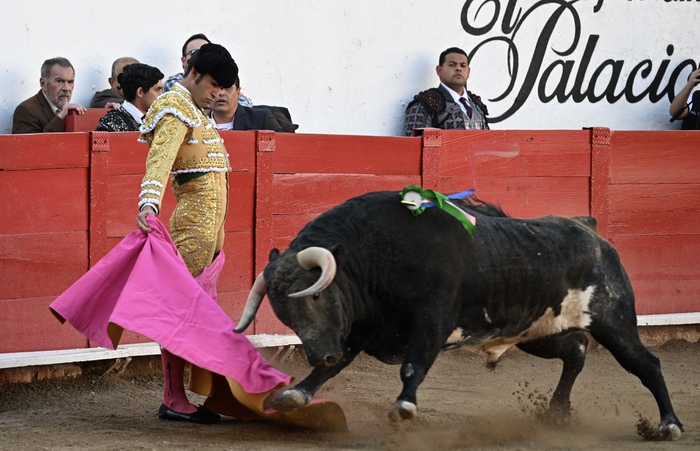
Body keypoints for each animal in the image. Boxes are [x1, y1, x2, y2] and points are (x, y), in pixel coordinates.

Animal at [234, 190, 683, 440]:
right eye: (283, 312)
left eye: (314, 297)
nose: (316, 352)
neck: (372, 256)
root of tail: (589, 229)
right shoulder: (358, 330)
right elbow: (335, 366)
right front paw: (294, 395)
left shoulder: (431, 322)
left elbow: (412, 367)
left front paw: (404, 408)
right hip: (537, 331)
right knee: (574, 350)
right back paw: (556, 413)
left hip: (613, 320)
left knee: (646, 364)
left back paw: (669, 426)